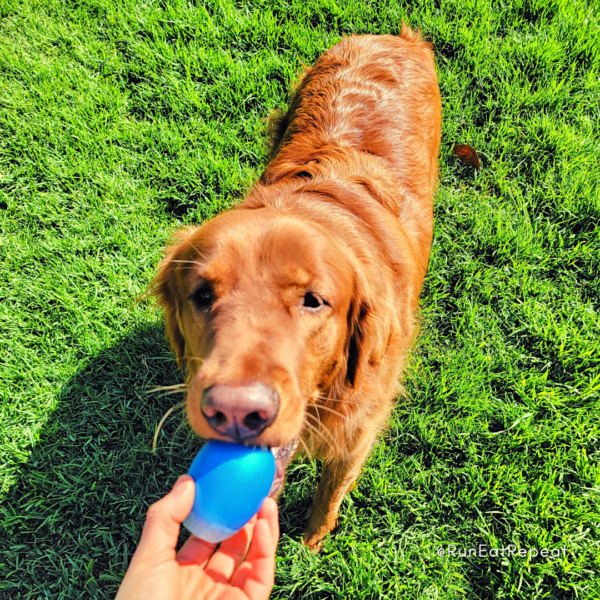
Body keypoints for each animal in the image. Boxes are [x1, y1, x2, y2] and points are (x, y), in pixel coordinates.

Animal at [150, 28, 440, 552]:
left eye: (313, 301)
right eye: (202, 295)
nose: (237, 412)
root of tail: (392, 35)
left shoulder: (359, 429)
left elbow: (331, 490)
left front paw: (311, 544)